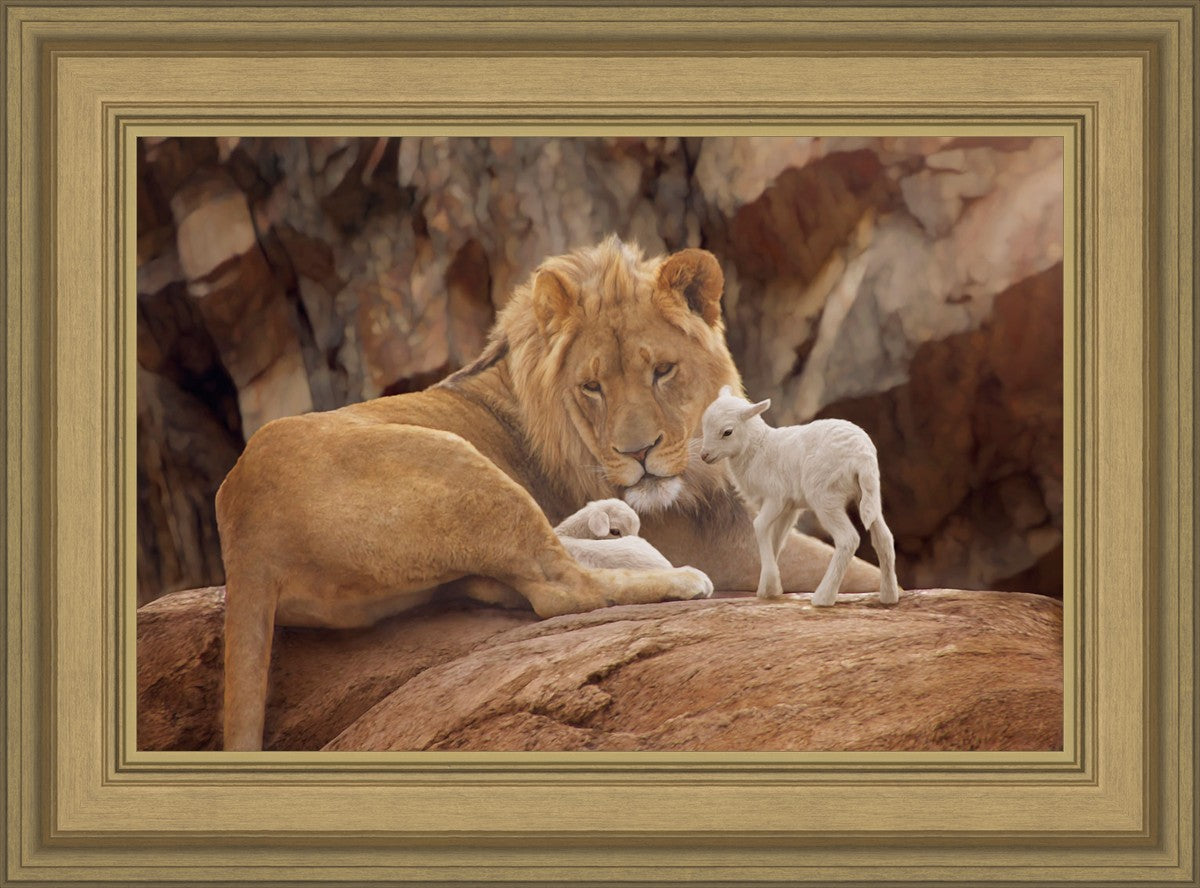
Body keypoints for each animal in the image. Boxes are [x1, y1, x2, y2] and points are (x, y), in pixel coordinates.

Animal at [698, 386, 900, 606]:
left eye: (727, 432)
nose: (704, 455)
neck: (758, 448)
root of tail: (862, 456)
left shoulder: (775, 497)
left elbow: (759, 526)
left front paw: (770, 584)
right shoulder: (789, 507)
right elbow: (776, 539)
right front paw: (769, 588)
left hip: (825, 495)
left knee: (848, 539)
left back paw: (823, 597)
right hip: (869, 493)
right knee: (884, 538)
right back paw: (889, 596)